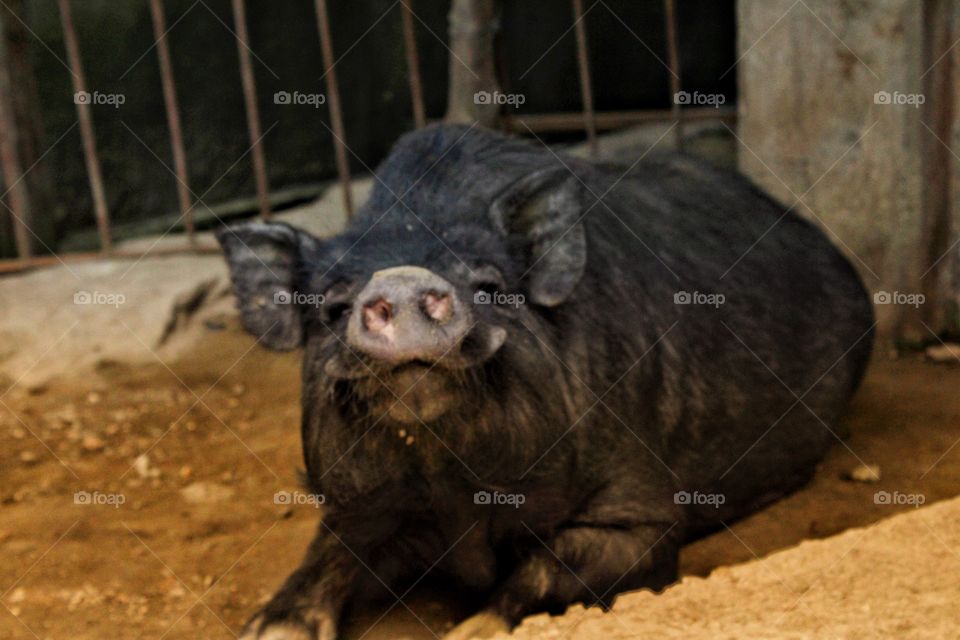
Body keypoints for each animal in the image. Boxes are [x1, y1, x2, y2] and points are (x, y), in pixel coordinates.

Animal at [217, 123, 874, 640]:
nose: (400, 278)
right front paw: (265, 631)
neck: (453, 491)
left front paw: (470, 629)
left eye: (489, 287)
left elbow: (551, 567)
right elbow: (329, 552)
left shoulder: (639, 509)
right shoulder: (355, 499)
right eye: (330, 307)